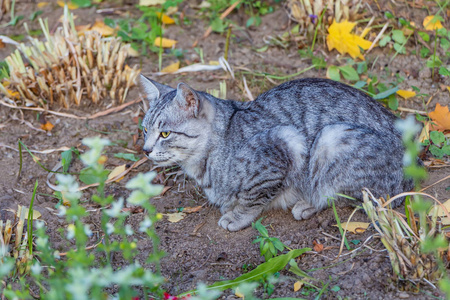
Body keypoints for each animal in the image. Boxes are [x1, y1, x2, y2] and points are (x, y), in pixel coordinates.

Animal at [139, 75, 414, 232]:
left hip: (330, 139)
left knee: (352, 196)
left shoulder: (283, 145)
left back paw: (307, 204)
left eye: (165, 134)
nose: (146, 150)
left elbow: (252, 197)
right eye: (144, 130)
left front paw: (237, 216)